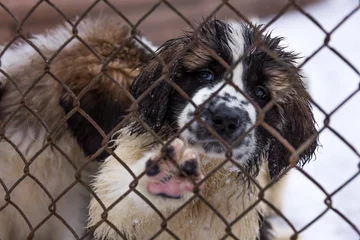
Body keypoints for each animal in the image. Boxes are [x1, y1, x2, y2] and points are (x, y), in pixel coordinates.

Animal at [87, 19, 318, 239]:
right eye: (206, 74)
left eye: (260, 92)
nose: (225, 118)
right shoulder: (111, 216)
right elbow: (124, 198)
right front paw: (166, 172)